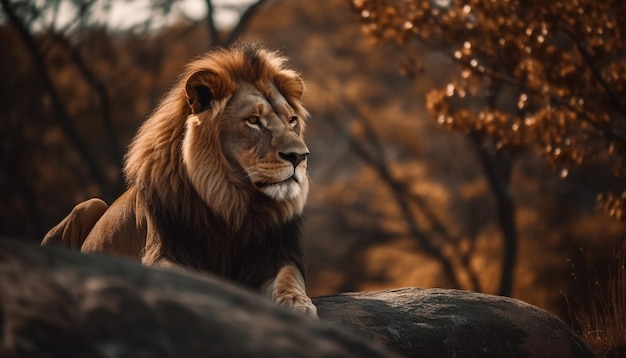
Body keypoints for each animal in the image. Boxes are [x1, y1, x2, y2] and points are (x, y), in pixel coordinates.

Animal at [42, 42, 316, 318]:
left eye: (292, 120)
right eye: (253, 121)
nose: (300, 156)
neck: (231, 201)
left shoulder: (277, 254)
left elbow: (289, 278)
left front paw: (297, 303)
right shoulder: (163, 251)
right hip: (89, 204)